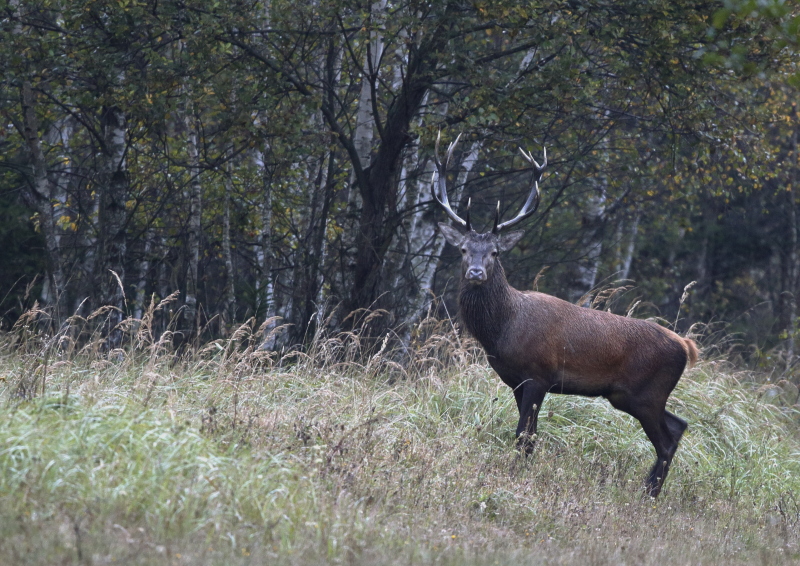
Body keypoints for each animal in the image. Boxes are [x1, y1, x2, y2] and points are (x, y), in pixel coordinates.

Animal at [434, 133, 696, 496]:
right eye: (462, 249)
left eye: (495, 252)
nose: (475, 272)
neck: (502, 330)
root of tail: (685, 345)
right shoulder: (514, 380)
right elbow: (528, 435)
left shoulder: (538, 374)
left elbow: (524, 435)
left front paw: (515, 477)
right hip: (633, 396)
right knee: (679, 425)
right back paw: (648, 491)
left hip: (646, 393)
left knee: (667, 441)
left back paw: (648, 495)